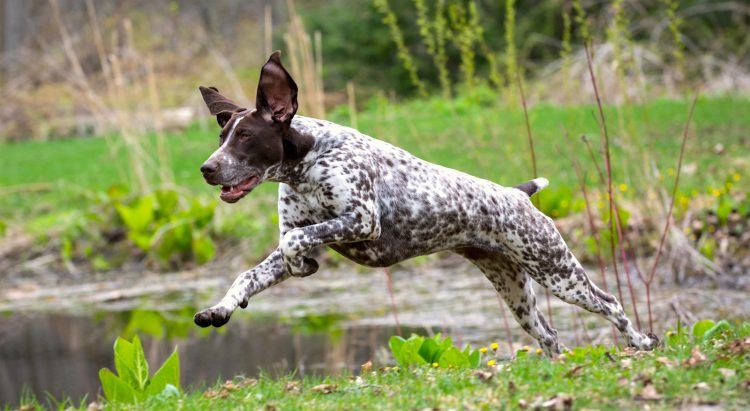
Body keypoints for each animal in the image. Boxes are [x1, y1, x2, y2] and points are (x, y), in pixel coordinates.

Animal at [194, 50, 656, 356]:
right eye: (221, 137)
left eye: (246, 137)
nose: (206, 168)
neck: (307, 162)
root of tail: (516, 193)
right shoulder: (295, 236)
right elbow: (249, 275)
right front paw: (221, 308)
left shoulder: (362, 220)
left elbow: (296, 245)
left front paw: (301, 265)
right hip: (516, 290)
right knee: (550, 337)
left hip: (558, 272)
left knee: (612, 304)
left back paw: (640, 342)